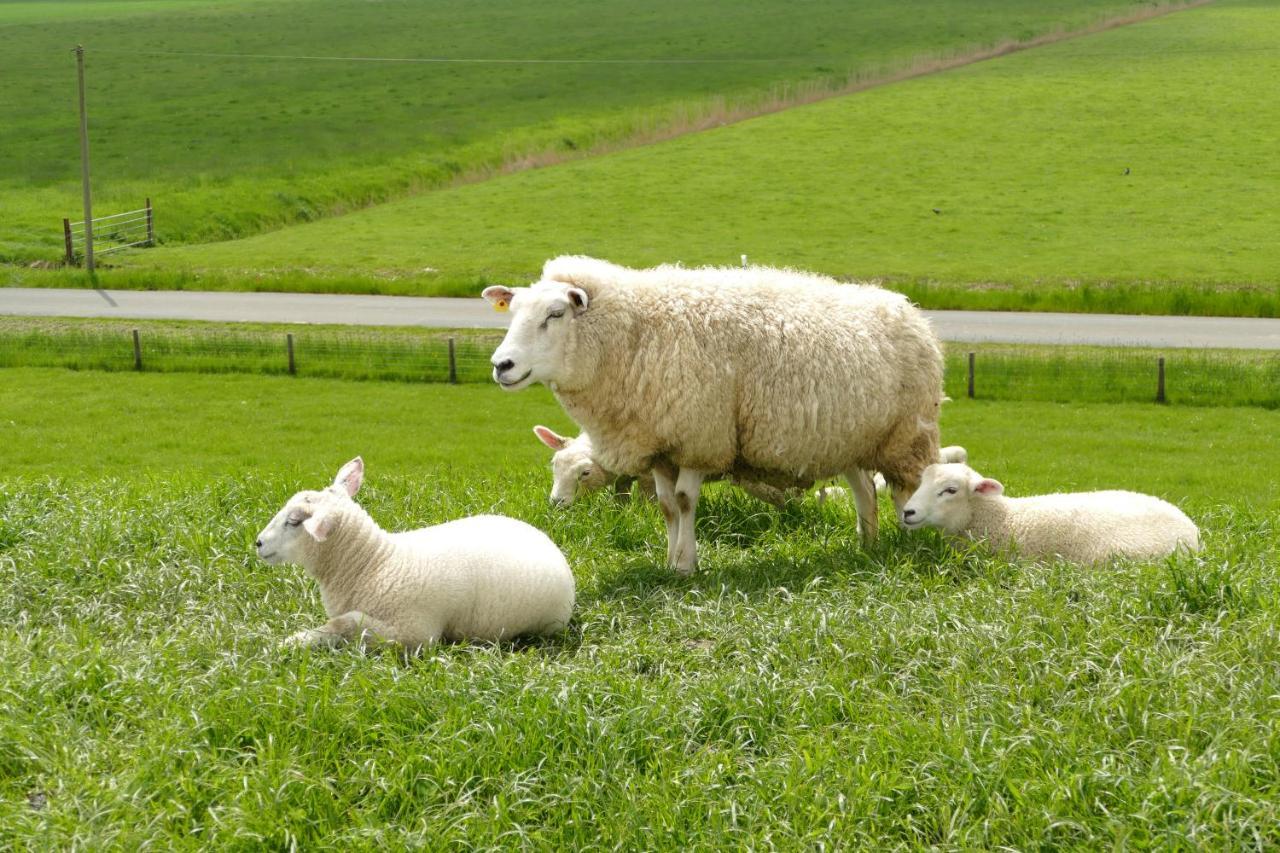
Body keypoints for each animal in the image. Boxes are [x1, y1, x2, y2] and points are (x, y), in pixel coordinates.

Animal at [254, 455, 576, 648]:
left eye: (294, 521)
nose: (258, 542)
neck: (373, 565)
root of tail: (546, 540)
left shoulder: (415, 634)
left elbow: (344, 622)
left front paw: (294, 641)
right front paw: (296, 640)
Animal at [483, 252, 947, 571]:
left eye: (556, 313)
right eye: (513, 313)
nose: (501, 365)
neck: (633, 337)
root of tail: (911, 311)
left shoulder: (699, 437)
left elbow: (685, 502)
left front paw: (686, 565)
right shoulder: (661, 444)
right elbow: (667, 507)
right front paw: (671, 562)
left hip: (907, 434)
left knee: (905, 490)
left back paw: (910, 546)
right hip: (849, 439)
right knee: (865, 491)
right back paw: (867, 546)